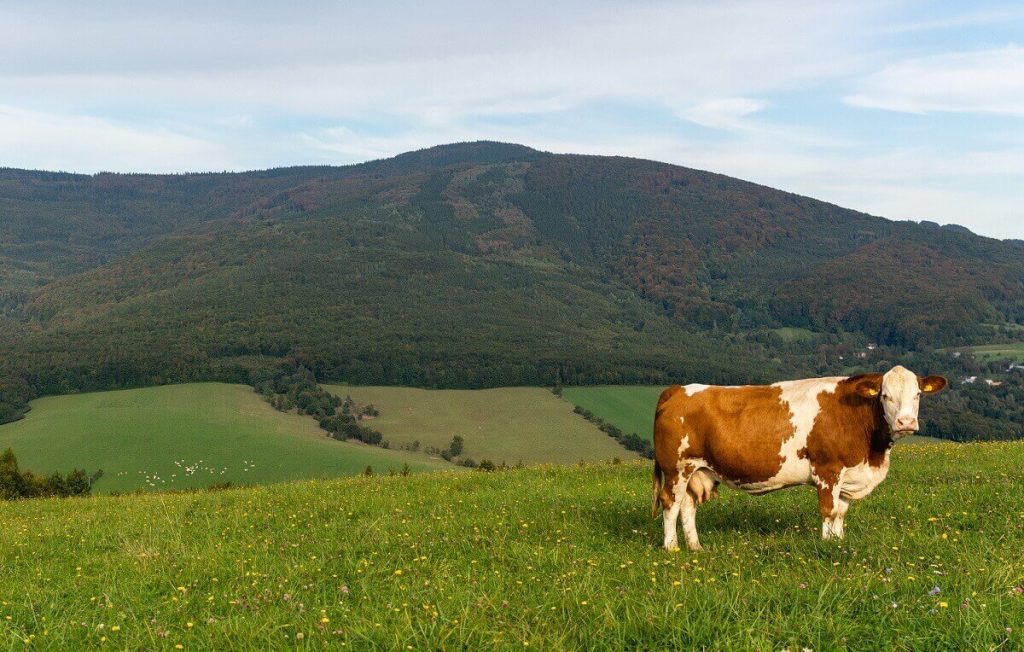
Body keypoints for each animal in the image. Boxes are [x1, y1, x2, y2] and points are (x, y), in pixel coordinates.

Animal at [651, 366, 947, 551]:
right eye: (885, 395)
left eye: (917, 394)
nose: (906, 422)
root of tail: (677, 389)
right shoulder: (827, 471)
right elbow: (829, 511)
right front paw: (828, 546)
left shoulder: (847, 475)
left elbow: (840, 512)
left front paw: (839, 543)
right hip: (677, 468)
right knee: (671, 503)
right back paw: (671, 547)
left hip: (699, 470)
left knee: (688, 506)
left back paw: (696, 547)